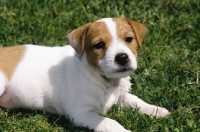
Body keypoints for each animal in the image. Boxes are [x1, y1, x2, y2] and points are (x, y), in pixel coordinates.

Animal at [0, 17, 170, 132]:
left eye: (129, 39)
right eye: (99, 45)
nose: (122, 57)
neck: (103, 81)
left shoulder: (121, 95)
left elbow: (136, 101)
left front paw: (156, 110)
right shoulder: (81, 113)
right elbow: (110, 122)